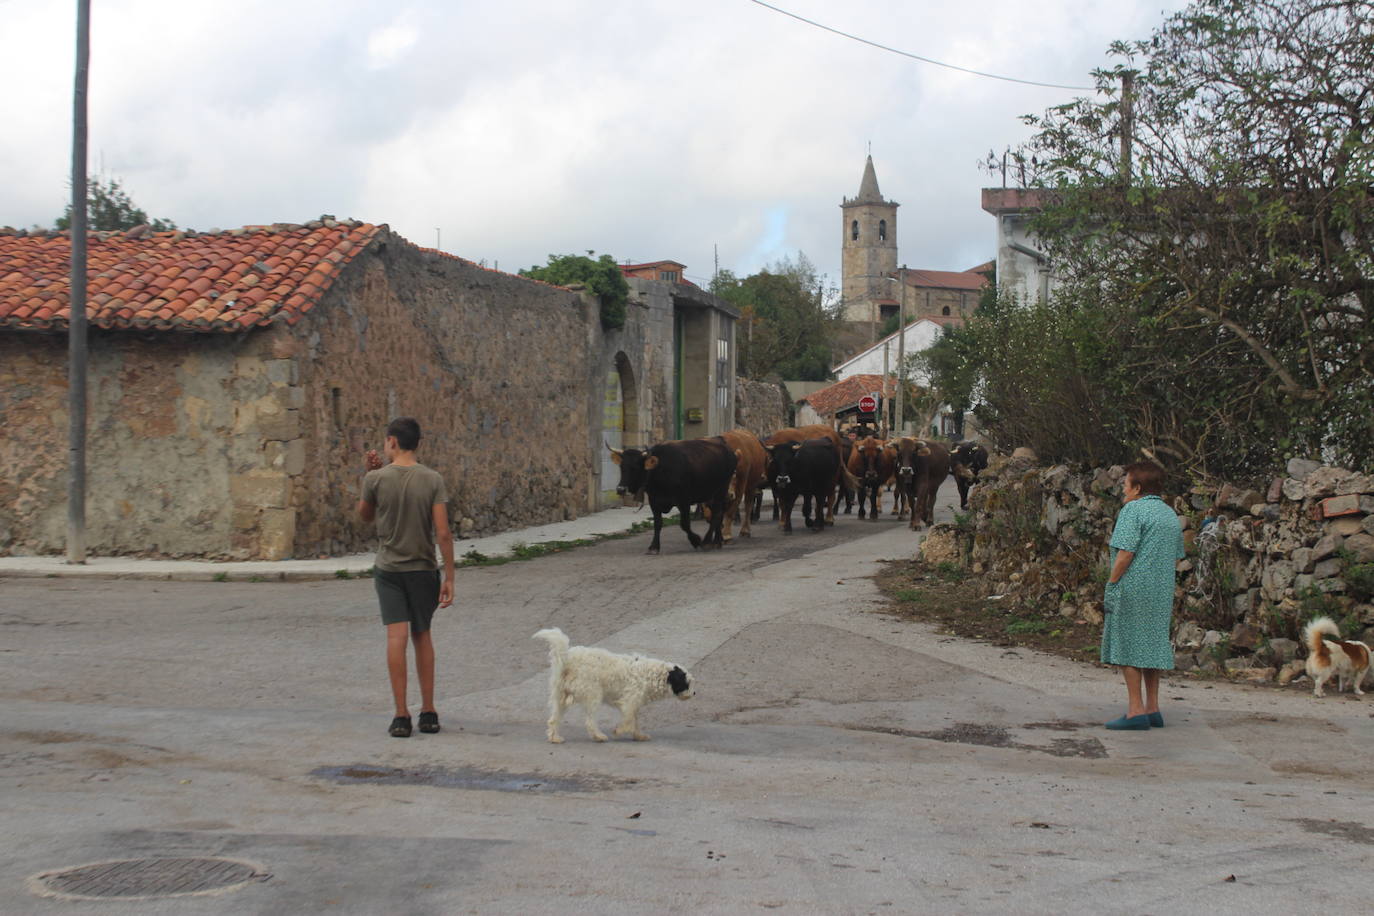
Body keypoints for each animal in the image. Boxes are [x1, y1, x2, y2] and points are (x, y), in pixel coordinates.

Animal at [530, 626, 692, 741]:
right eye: (687, 684)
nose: (695, 693)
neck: (652, 674)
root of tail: (567, 660)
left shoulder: (634, 704)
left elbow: (634, 720)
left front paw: (639, 735)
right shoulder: (629, 701)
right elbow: (628, 719)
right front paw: (619, 730)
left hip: (560, 698)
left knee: (553, 720)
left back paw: (554, 737)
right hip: (593, 695)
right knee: (589, 721)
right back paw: (598, 736)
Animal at [612, 439, 741, 554]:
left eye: (635, 467)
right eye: (622, 467)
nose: (621, 489)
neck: (661, 469)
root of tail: (729, 451)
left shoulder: (684, 502)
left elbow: (685, 524)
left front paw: (696, 540)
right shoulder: (654, 502)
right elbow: (658, 524)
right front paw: (654, 547)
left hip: (721, 490)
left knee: (716, 514)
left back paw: (707, 542)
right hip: (712, 495)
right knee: (718, 514)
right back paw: (717, 542)